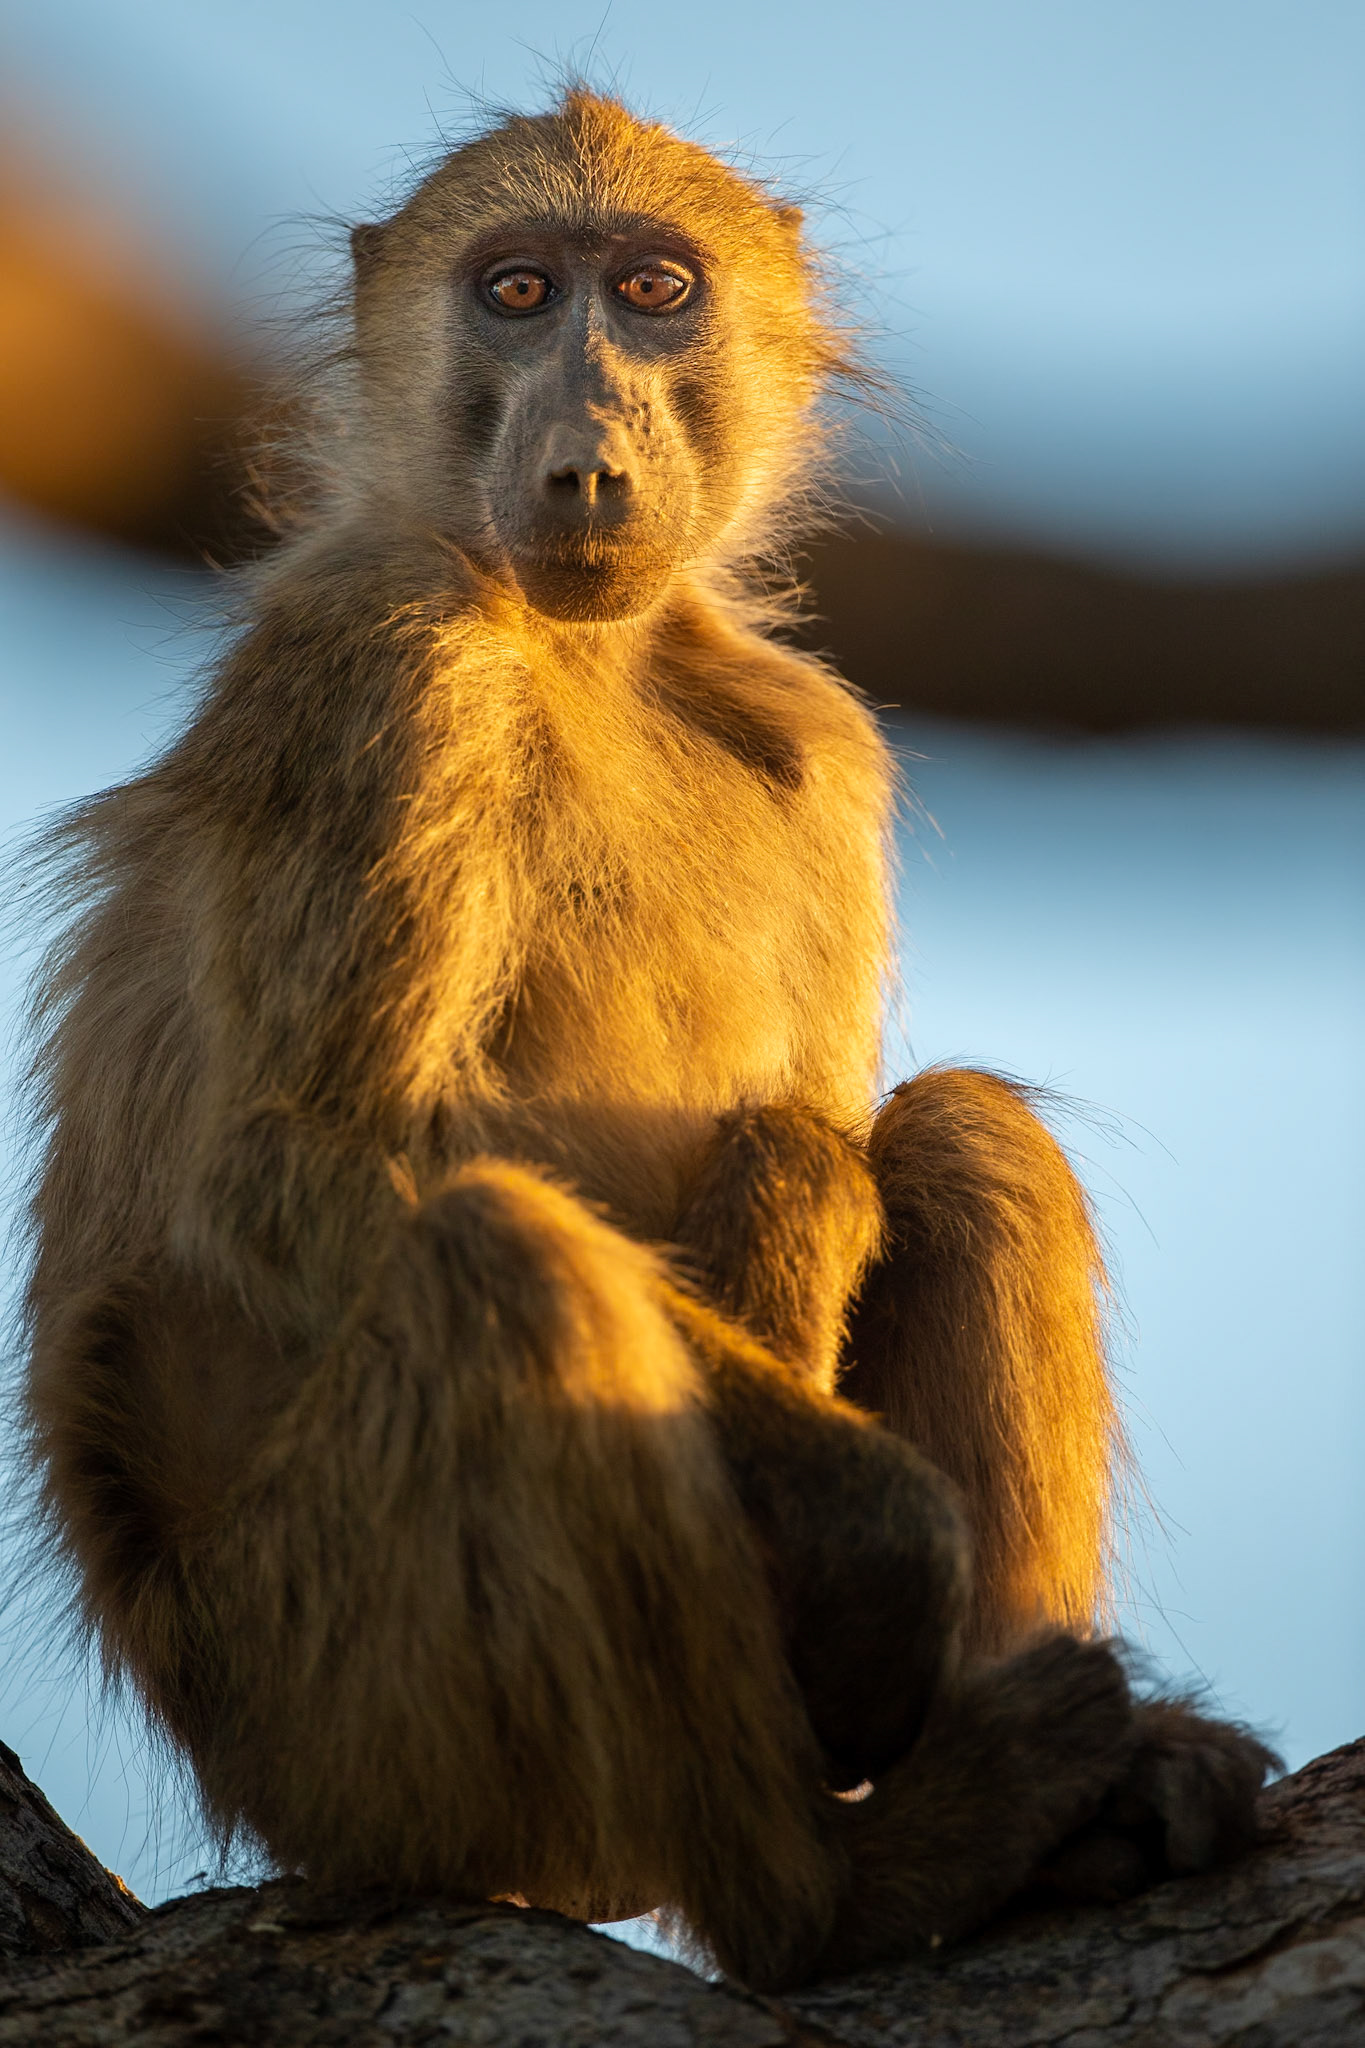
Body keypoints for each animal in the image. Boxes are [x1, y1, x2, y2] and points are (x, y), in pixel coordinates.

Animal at [19, 90, 1275, 1993]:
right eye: (520, 290)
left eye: (657, 290)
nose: (587, 457)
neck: (585, 649)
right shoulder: (392, 662)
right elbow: (302, 1166)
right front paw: (869, 1536)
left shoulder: (825, 741)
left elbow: (824, 1135)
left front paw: (801, 1196)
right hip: (343, 1709)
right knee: (504, 1266)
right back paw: (836, 1896)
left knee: (962, 1137)